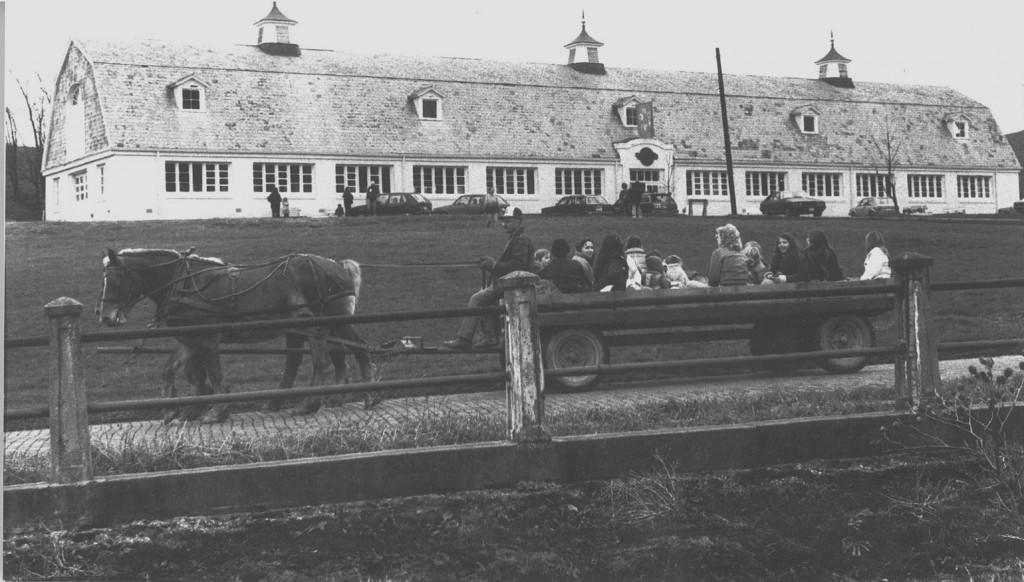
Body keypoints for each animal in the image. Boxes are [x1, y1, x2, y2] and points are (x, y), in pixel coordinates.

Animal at [97, 247, 372, 420]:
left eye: (115, 280)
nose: (106, 318)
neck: (182, 283)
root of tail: (337, 265)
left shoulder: (207, 339)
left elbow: (214, 374)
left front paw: (216, 412)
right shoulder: (189, 341)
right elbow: (174, 371)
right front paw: (174, 410)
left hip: (327, 324)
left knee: (338, 357)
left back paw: (321, 402)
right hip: (317, 326)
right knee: (332, 355)